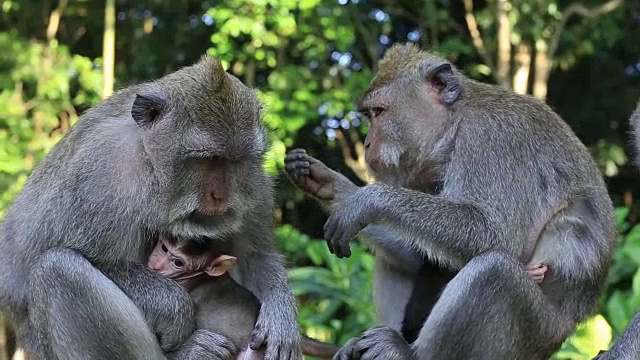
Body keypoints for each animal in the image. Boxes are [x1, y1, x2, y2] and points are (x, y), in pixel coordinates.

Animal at [0, 54, 302, 360]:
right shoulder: (103, 169)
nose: (220, 195)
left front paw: (281, 318)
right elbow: (98, 261)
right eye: (207, 159)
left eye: (235, 160)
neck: (152, 165)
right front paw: (176, 309)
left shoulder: (255, 183)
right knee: (57, 270)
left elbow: (256, 255)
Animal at [284, 43, 616, 360]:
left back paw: (408, 353)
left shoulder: (490, 139)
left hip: (532, 334)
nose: (366, 144)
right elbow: (424, 256)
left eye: (378, 113)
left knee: (495, 270)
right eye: (369, 116)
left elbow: (494, 234)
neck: (458, 120)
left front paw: (366, 201)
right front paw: (331, 186)